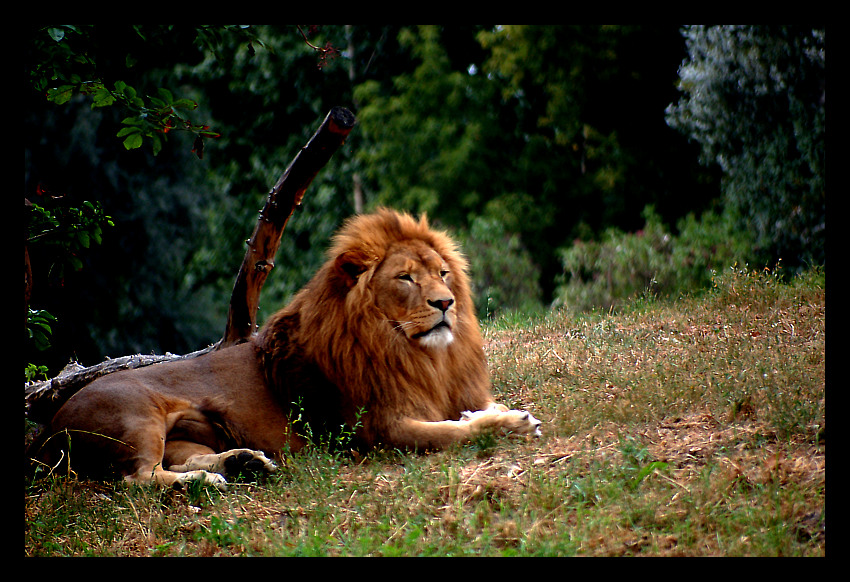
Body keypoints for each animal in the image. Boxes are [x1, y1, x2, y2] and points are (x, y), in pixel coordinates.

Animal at [31, 208, 544, 490]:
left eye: (442, 273)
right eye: (405, 278)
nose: (446, 303)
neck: (415, 353)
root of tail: (48, 429)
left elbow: (473, 412)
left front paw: (490, 412)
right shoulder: (379, 431)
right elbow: (457, 434)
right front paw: (512, 423)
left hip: (189, 431)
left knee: (181, 459)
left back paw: (244, 463)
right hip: (137, 416)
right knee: (138, 479)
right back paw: (206, 484)